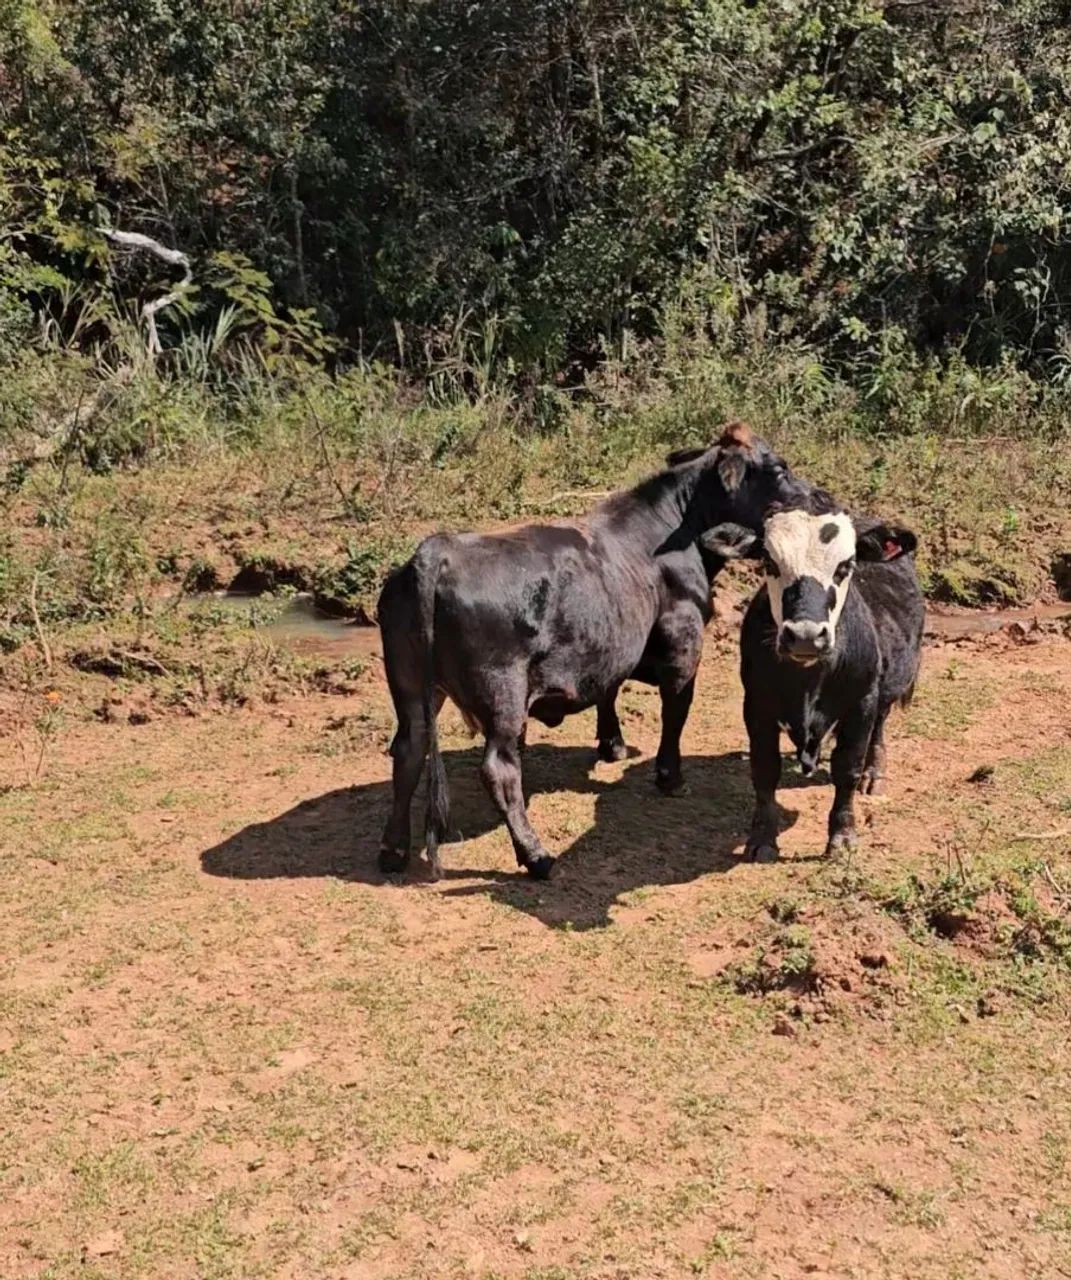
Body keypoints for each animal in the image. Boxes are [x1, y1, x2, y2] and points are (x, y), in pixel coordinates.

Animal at [376, 422, 805, 880]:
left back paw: (393, 850)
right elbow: (675, 713)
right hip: (502, 693)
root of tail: (435, 551)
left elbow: (609, 689)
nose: (813, 499)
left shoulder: (609, 645)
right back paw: (537, 855)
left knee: (408, 750)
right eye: (779, 468)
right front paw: (670, 777)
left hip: (411, 686)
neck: (674, 528)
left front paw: (611, 744)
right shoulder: (683, 644)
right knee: (498, 769)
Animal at [703, 490, 923, 861]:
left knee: (879, 727)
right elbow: (765, 770)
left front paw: (842, 836)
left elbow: (846, 768)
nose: (805, 635)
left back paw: (874, 773)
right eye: (770, 562)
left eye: (846, 566)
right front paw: (762, 838)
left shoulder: (861, 702)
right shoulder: (756, 705)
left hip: (886, 689)